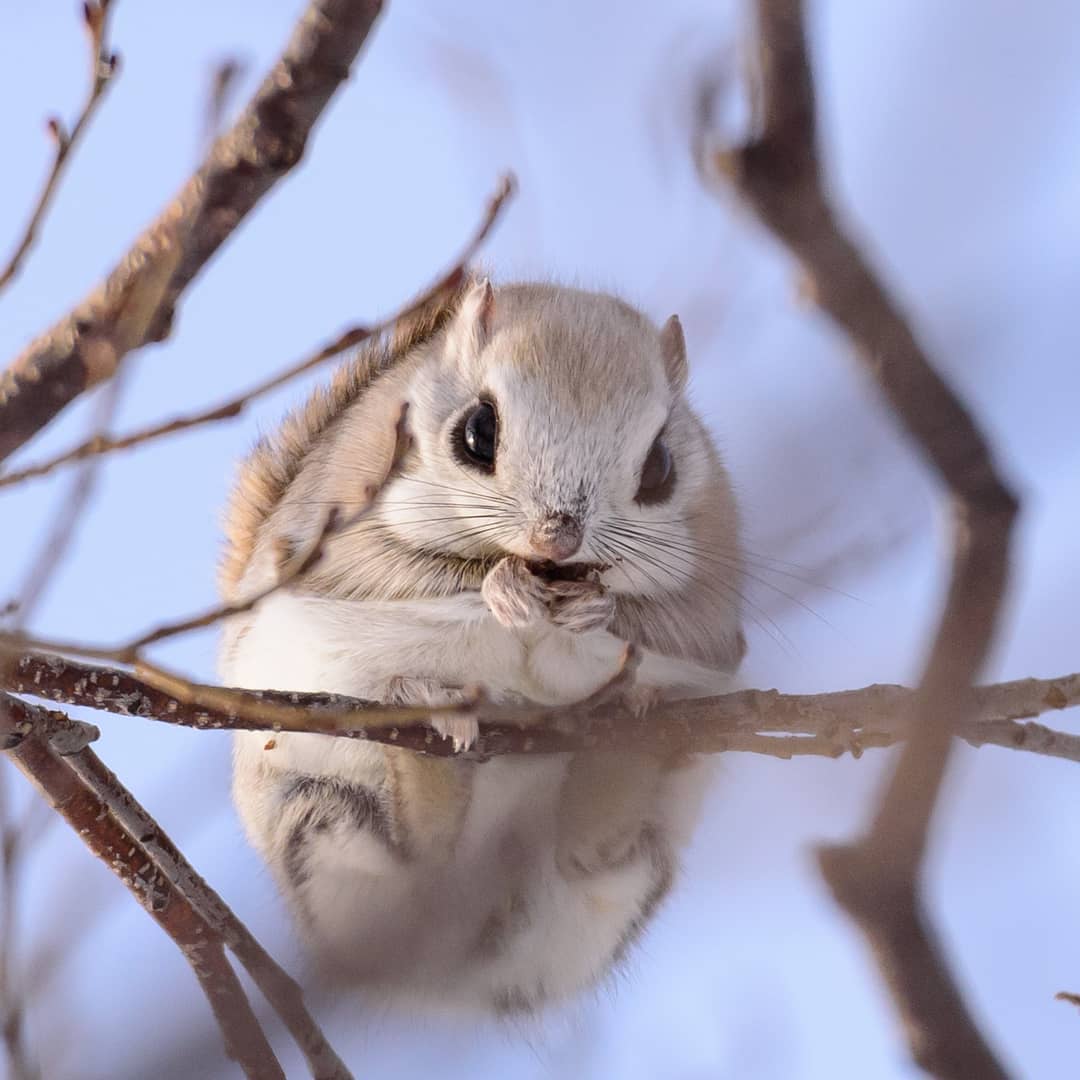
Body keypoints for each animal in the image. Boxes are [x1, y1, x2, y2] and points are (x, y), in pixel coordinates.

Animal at [217, 274, 743, 1015]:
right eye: (477, 432)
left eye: (662, 465)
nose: (559, 538)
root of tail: (435, 972)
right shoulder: (339, 539)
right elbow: (424, 577)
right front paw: (504, 591)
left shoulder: (710, 606)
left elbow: (667, 624)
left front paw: (596, 607)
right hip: (316, 819)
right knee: (421, 852)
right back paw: (431, 724)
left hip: (622, 880)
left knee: (592, 851)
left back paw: (627, 732)